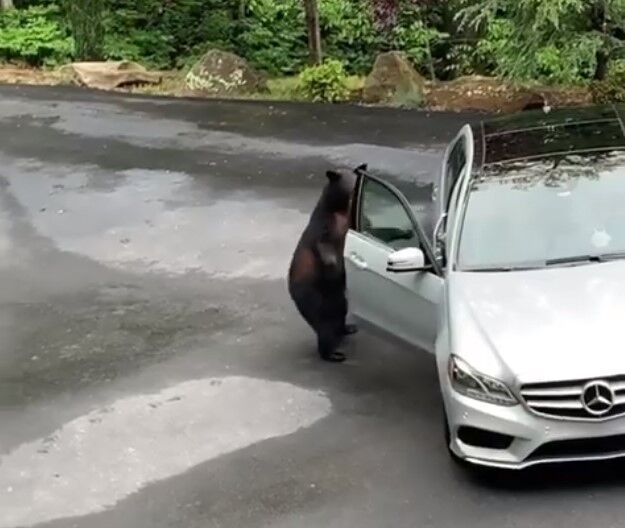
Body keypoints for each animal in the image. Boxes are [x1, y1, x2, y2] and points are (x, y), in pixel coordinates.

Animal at [286, 165, 364, 364]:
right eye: (351, 185)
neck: (340, 209)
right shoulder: (324, 224)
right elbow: (324, 244)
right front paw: (334, 265)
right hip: (314, 296)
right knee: (324, 325)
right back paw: (333, 353)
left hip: (337, 297)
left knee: (340, 311)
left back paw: (347, 328)